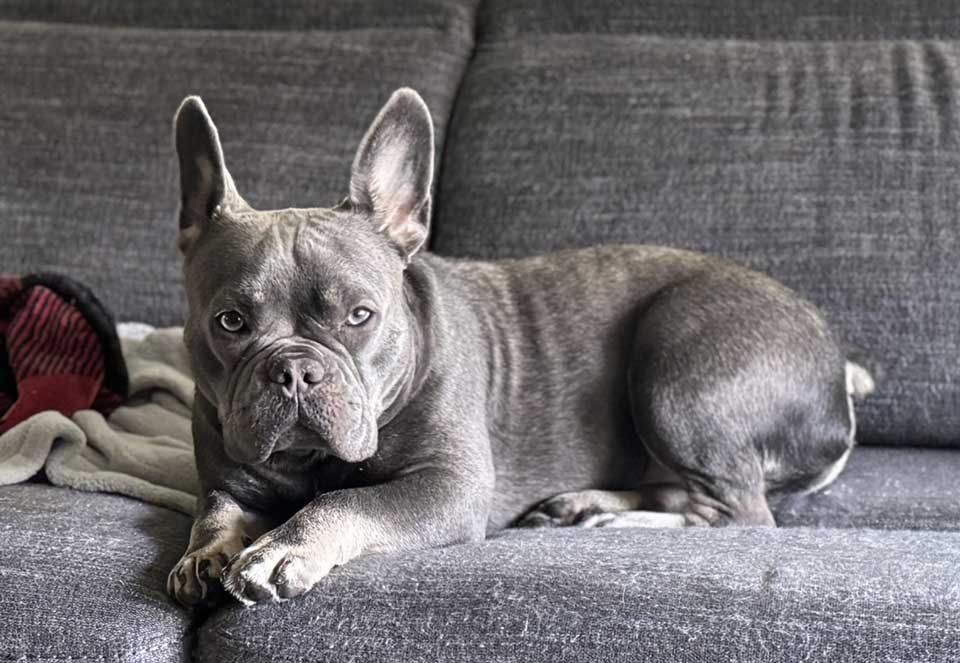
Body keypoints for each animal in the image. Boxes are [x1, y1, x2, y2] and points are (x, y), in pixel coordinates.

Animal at [169, 89, 872, 612]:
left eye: (360, 316)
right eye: (230, 322)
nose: (294, 369)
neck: (313, 460)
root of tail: (840, 375)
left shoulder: (449, 486)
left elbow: (348, 501)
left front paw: (284, 546)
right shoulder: (226, 477)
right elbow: (214, 511)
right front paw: (204, 555)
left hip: (675, 366)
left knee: (740, 513)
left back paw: (613, 521)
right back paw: (585, 506)